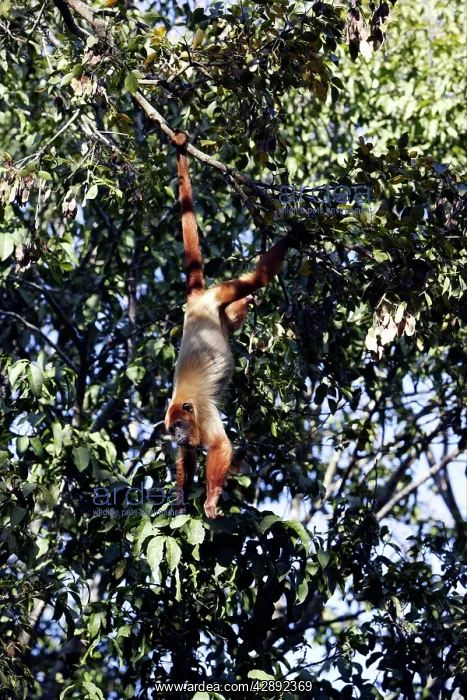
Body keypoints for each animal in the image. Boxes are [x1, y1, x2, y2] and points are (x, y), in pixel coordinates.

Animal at [165, 132, 304, 519]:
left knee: (256, 278)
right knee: (232, 317)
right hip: (216, 309)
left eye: (177, 427)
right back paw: (246, 304)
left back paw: (290, 240)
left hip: (216, 294)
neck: (183, 405)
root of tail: (196, 301)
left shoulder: (201, 411)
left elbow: (221, 447)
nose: (175, 438)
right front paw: (180, 504)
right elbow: (188, 458)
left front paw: (211, 501)